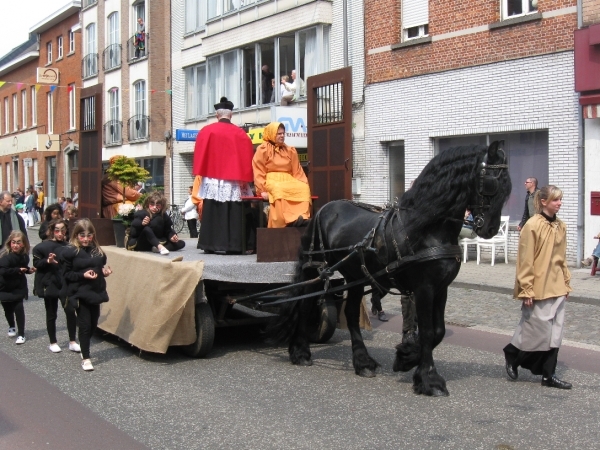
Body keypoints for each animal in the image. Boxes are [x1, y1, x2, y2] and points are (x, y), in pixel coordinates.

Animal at [266, 140, 510, 394]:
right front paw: (428, 379)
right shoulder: (424, 288)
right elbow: (428, 330)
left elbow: (438, 331)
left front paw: (406, 358)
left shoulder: (441, 289)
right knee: (304, 305)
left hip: (355, 276)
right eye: (491, 183)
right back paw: (301, 352)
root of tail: (322, 210)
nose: (490, 229)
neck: (427, 229)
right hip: (316, 269)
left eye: (508, 187)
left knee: (350, 314)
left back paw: (363, 362)